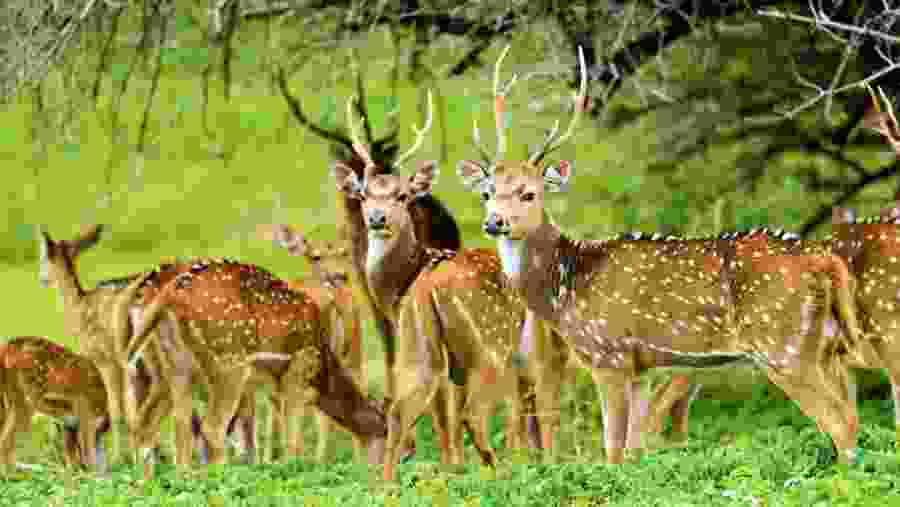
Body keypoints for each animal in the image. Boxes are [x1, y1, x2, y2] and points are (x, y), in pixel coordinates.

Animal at [456, 44, 864, 465]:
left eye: (529, 193)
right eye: (486, 193)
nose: (495, 222)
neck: (567, 285)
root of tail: (824, 260)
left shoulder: (610, 354)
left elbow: (613, 451)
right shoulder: (643, 368)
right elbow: (634, 450)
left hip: (783, 345)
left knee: (841, 422)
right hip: (827, 345)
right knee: (851, 416)